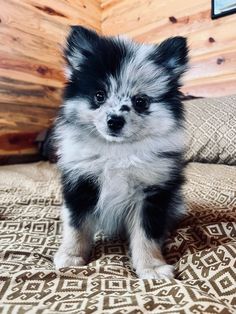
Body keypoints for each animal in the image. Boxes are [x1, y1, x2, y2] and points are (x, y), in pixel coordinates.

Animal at [53, 25, 188, 278]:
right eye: (99, 95)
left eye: (141, 101)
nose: (115, 121)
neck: (117, 151)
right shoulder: (80, 183)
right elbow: (76, 226)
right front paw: (71, 256)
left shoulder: (151, 192)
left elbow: (147, 235)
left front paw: (152, 267)